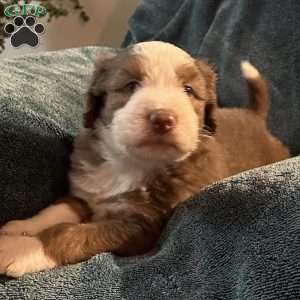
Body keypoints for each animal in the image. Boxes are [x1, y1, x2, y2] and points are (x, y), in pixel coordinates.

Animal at [0, 41, 290, 276]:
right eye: (131, 85)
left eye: (188, 90)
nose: (163, 118)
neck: (131, 162)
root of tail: (255, 116)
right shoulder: (88, 190)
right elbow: (61, 208)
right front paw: (22, 227)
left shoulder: (143, 227)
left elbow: (71, 232)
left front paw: (20, 248)